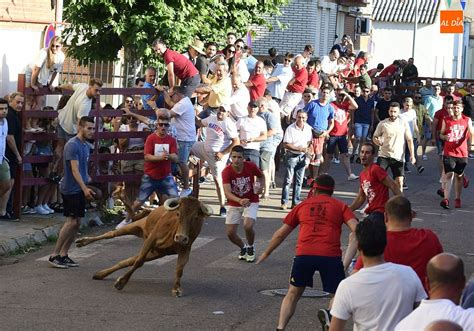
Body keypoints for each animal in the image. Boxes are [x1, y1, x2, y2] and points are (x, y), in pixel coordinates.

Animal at [76, 196, 213, 300]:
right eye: (178, 214)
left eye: (195, 217)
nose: (180, 237)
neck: (173, 230)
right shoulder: (151, 239)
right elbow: (139, 262)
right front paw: (121, 283)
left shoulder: (185, 249)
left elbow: (179, 269)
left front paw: (176, 289)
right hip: (135, 226)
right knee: (111, 234)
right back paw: (82, 242)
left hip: (156, 253)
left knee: (126, 261)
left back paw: (100, 274)